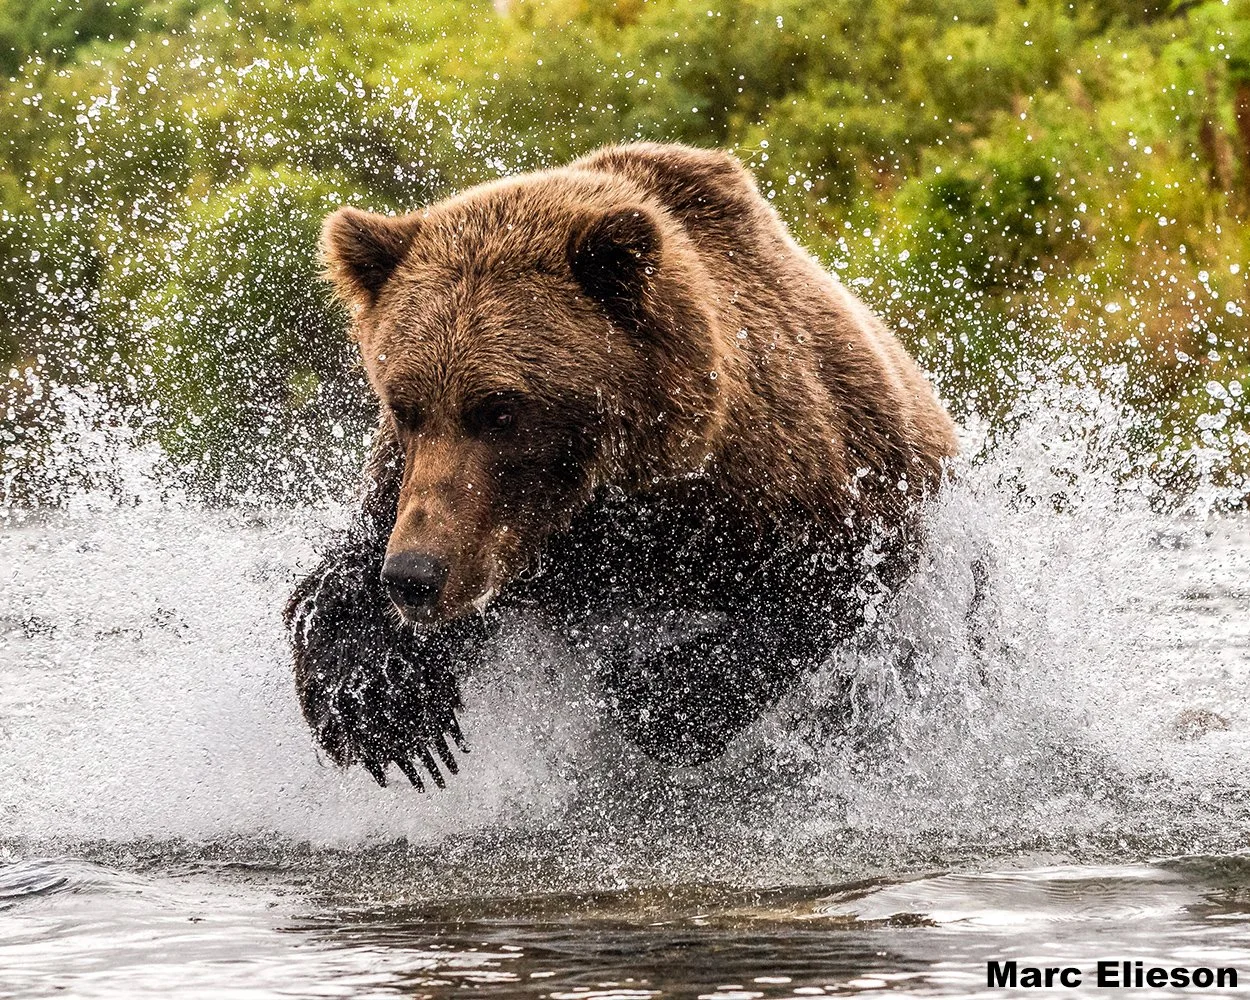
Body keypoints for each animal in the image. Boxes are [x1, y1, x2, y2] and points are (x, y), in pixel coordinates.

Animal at [284, 142, 958, 790]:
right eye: (404, 405)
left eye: (499, 409)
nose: (416, 575)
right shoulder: (423, 495)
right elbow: (343, 587)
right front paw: (389, 705)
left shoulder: (802, 484)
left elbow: (825, 590)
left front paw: (653, 695)